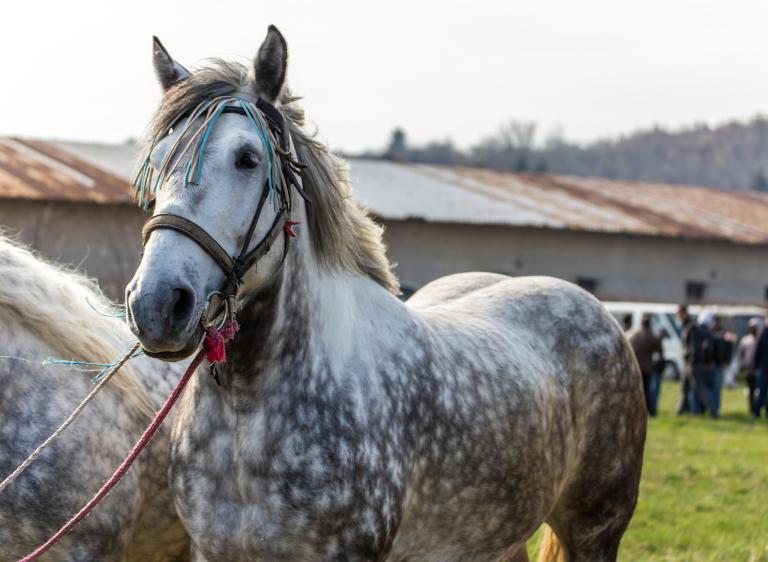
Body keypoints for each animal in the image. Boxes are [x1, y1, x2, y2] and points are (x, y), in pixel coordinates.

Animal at [127, 27, 648, 560]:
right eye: (158, 162)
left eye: (248, 159)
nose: (157, 305)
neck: (246, 419)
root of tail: (598, 314)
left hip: (594, 530)